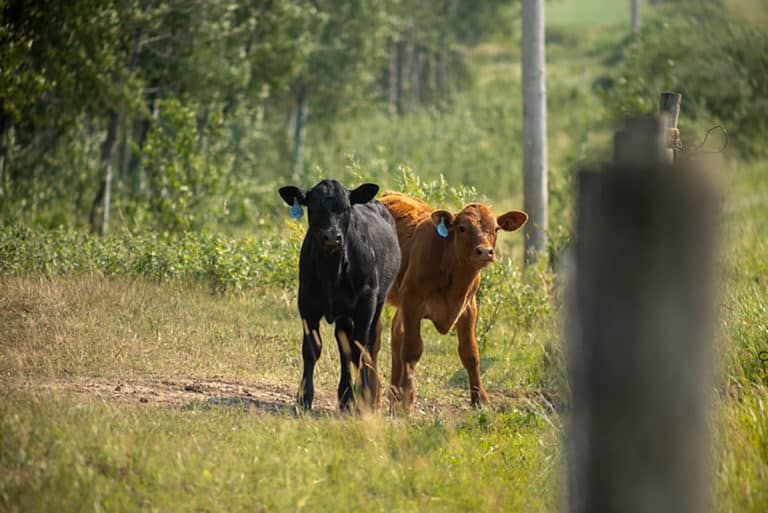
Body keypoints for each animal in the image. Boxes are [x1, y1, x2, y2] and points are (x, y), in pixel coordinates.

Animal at [380, 190, 528, 410]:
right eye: (462, 227)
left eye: (496, 228)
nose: (485, 251)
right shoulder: (412, 302)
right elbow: (412, 350)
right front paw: (408, 400)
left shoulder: (468, 308)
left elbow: (470, 353)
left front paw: (480, 399)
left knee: (396, 333)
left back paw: (393, 394)